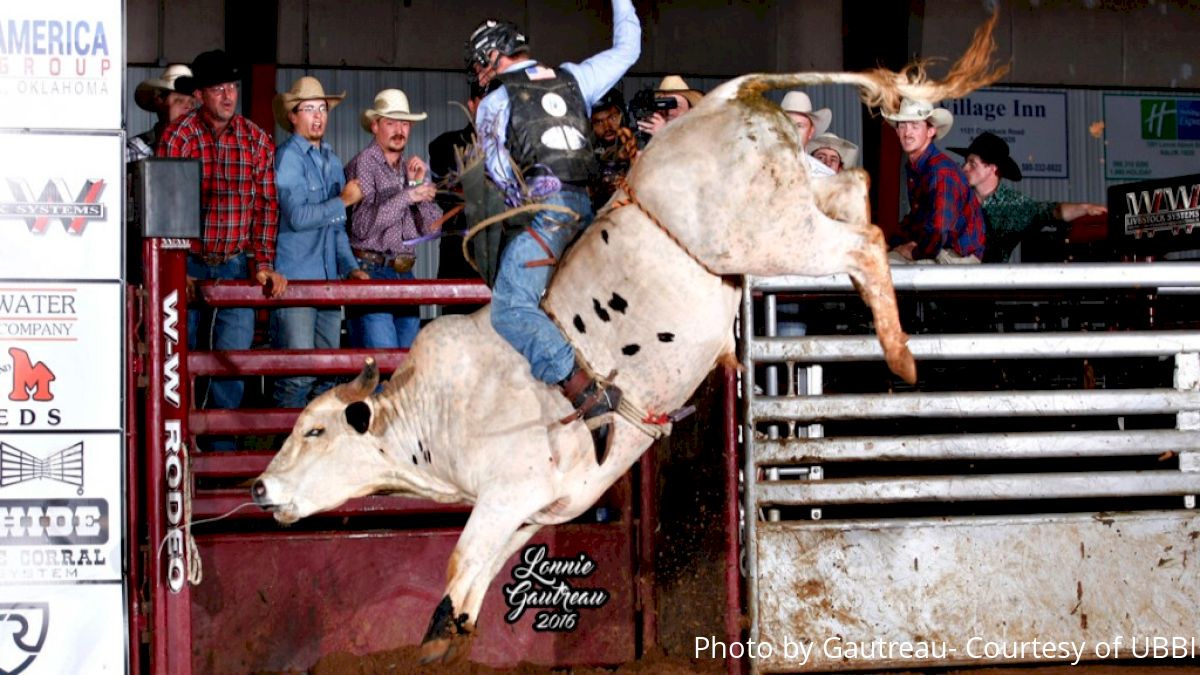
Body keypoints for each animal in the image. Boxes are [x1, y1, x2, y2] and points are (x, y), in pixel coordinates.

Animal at [255, 10, 1012, 662]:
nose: (261, 489)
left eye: (314, 430)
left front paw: (440, 634)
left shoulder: (504, 492)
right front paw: (447, 632)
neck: (434, 409)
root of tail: (730, 94)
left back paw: (900, 355)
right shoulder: (531, 508)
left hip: (772, 235)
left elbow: (460, 559)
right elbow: (476, 576)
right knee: (855, 188)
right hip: (801, 193)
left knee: (865, 242)